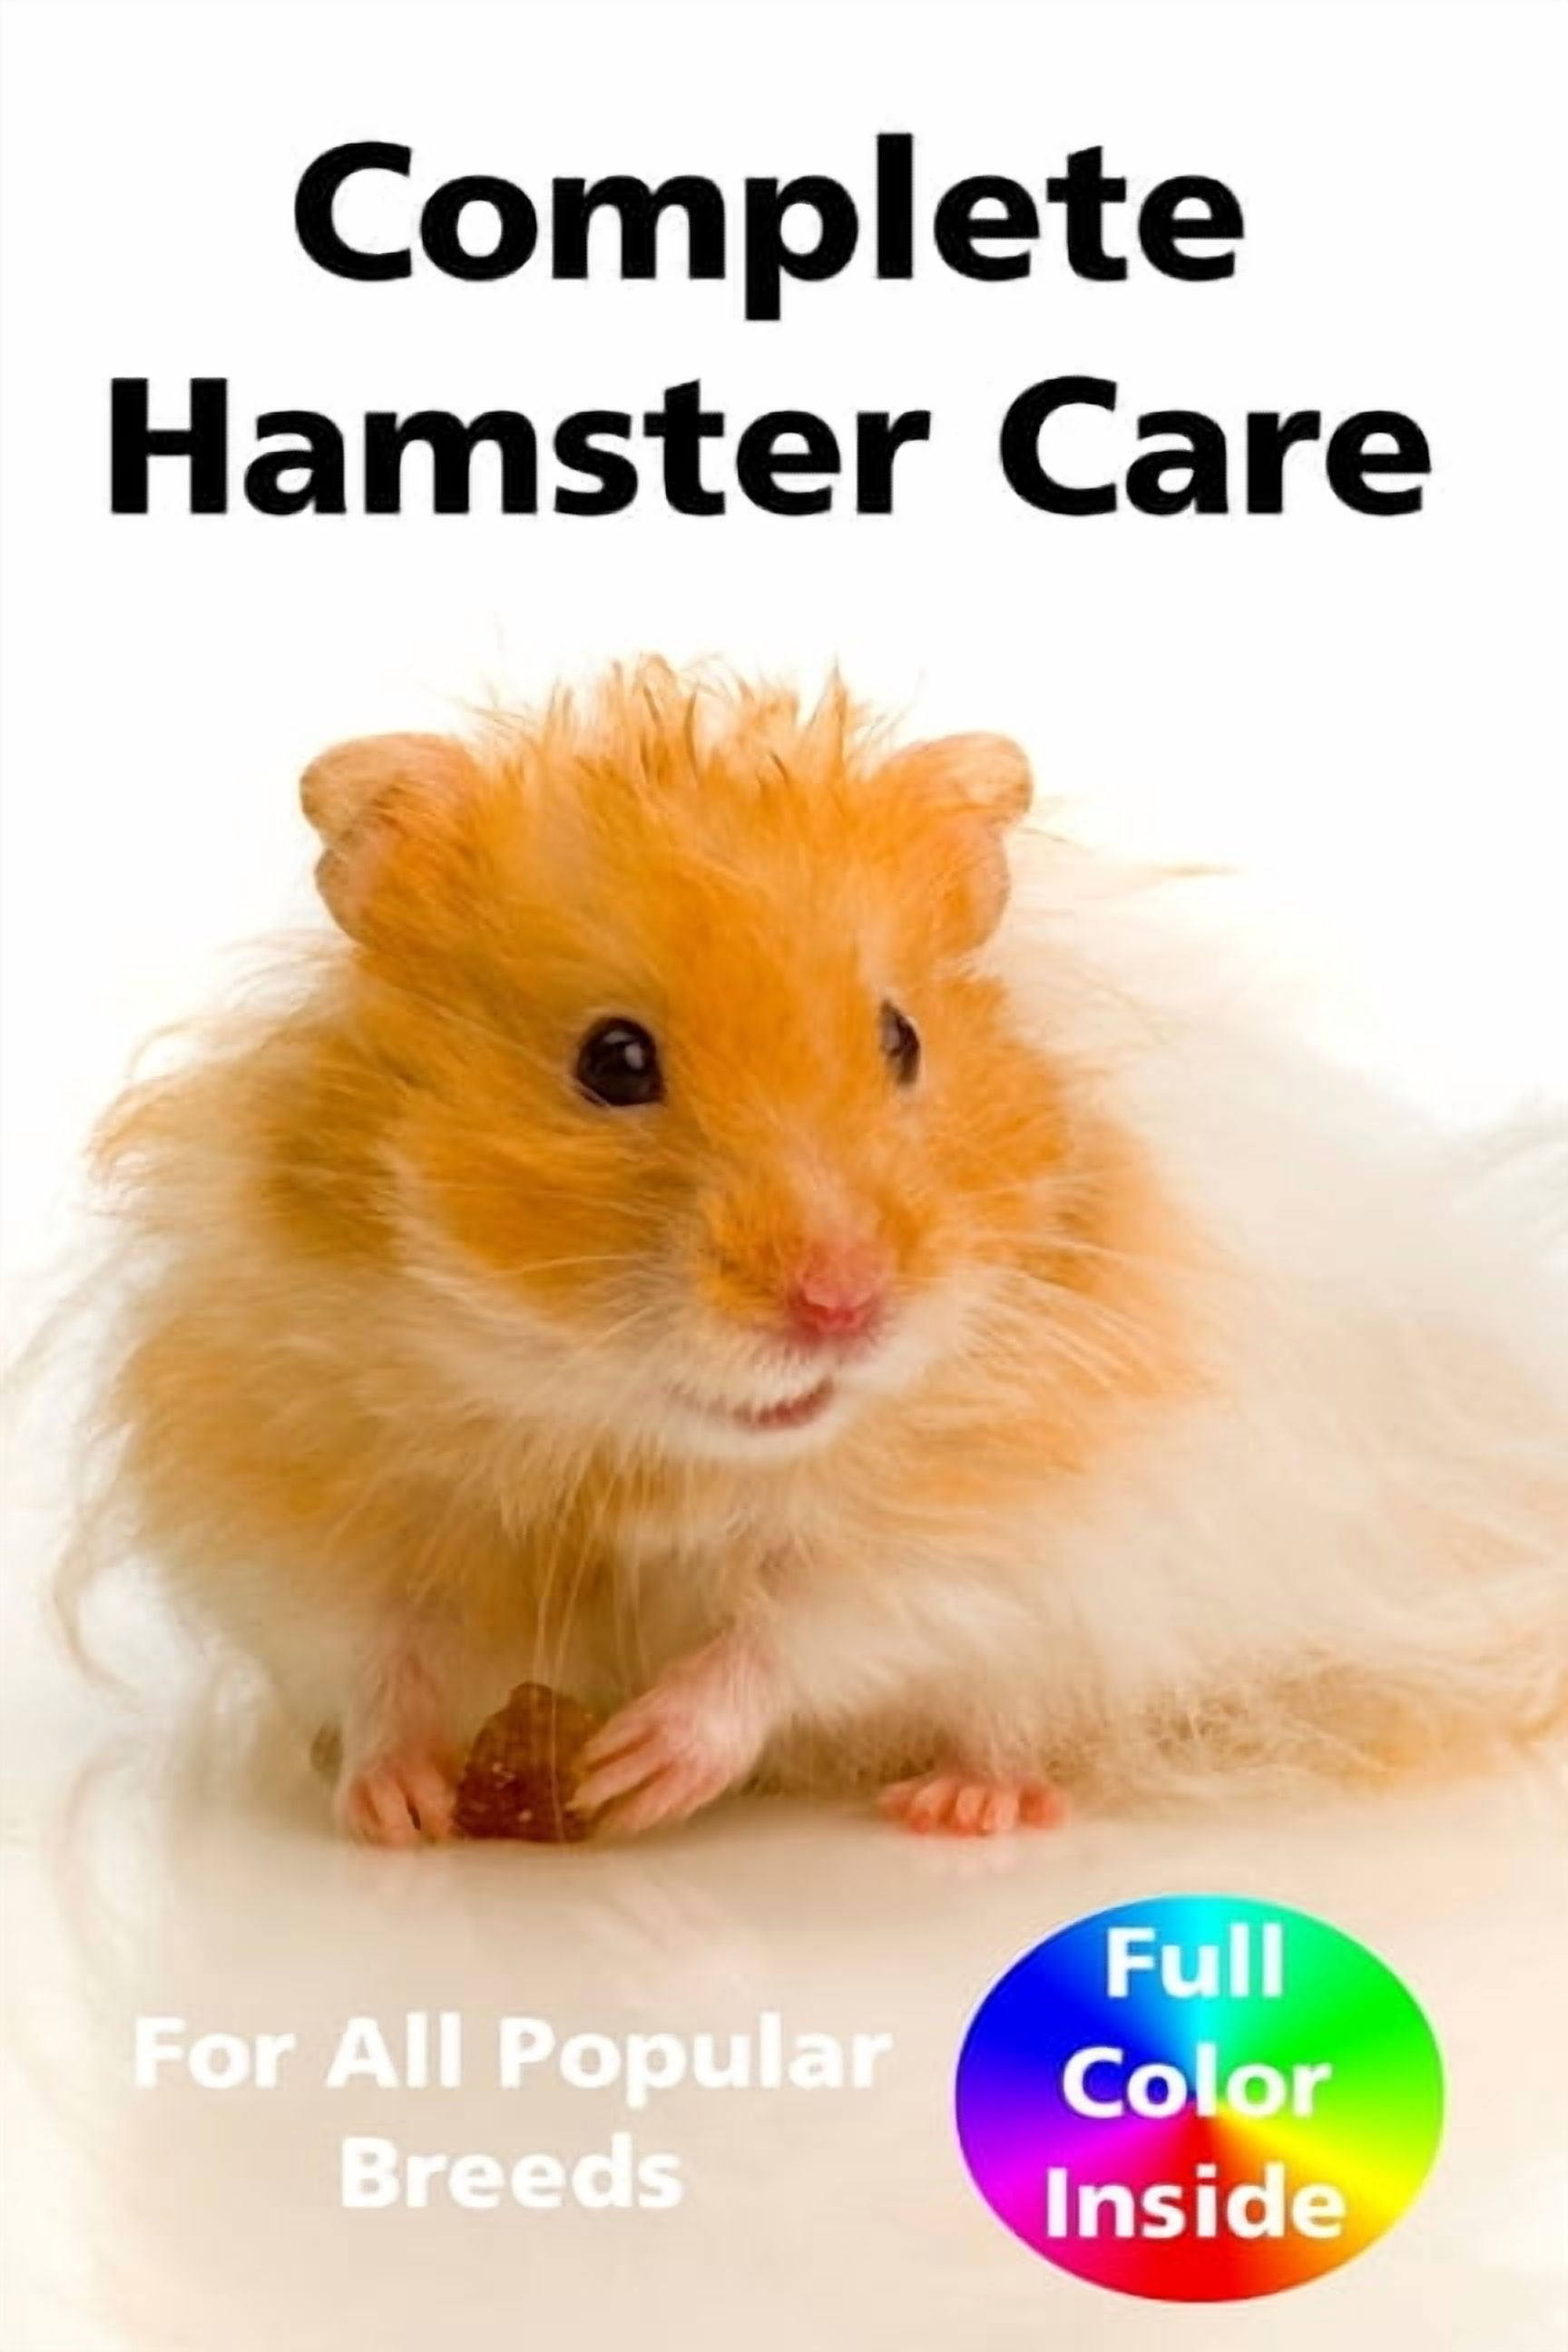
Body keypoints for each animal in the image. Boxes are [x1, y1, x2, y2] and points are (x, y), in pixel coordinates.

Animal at [81, 661, 1568, 1842]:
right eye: (612, 1061)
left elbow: (815, 1623)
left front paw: (637, 1769)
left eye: (902, 1038)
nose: (844, 1306)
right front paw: (399, 1807)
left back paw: (967, 1804)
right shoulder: (294, 1490)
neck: (643, 1445)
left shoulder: (1008, 1517)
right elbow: (382, 1645)